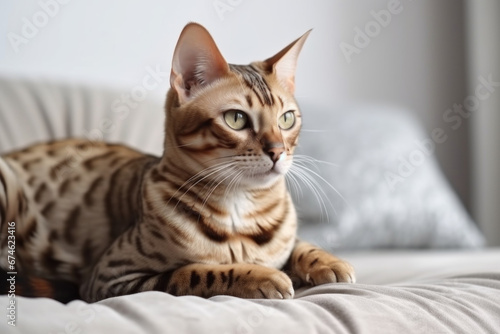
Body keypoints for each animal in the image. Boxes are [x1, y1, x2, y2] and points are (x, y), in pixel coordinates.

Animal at [0, 22, 356, 302]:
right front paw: (261, 275)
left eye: (286, 119)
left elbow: (299, 243)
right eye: (236, 119)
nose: (277, 151)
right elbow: (196, 271)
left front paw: (328, 261)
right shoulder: (110, 277)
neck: (241, 210)